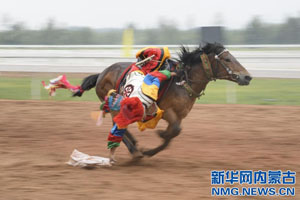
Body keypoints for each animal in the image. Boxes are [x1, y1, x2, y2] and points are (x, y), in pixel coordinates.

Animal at [74, 43, 252, 159]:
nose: (247, 77)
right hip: (114, 104)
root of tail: (101, 74)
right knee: (117, 124)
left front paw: (156, 143)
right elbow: (174, 131)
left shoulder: (179, 115)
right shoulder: (166, 112)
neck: (182, 81)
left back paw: (135, 146)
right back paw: (134, 150)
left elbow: (174, 133)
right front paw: (157, 138)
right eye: (227, 59)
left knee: (120, 125)